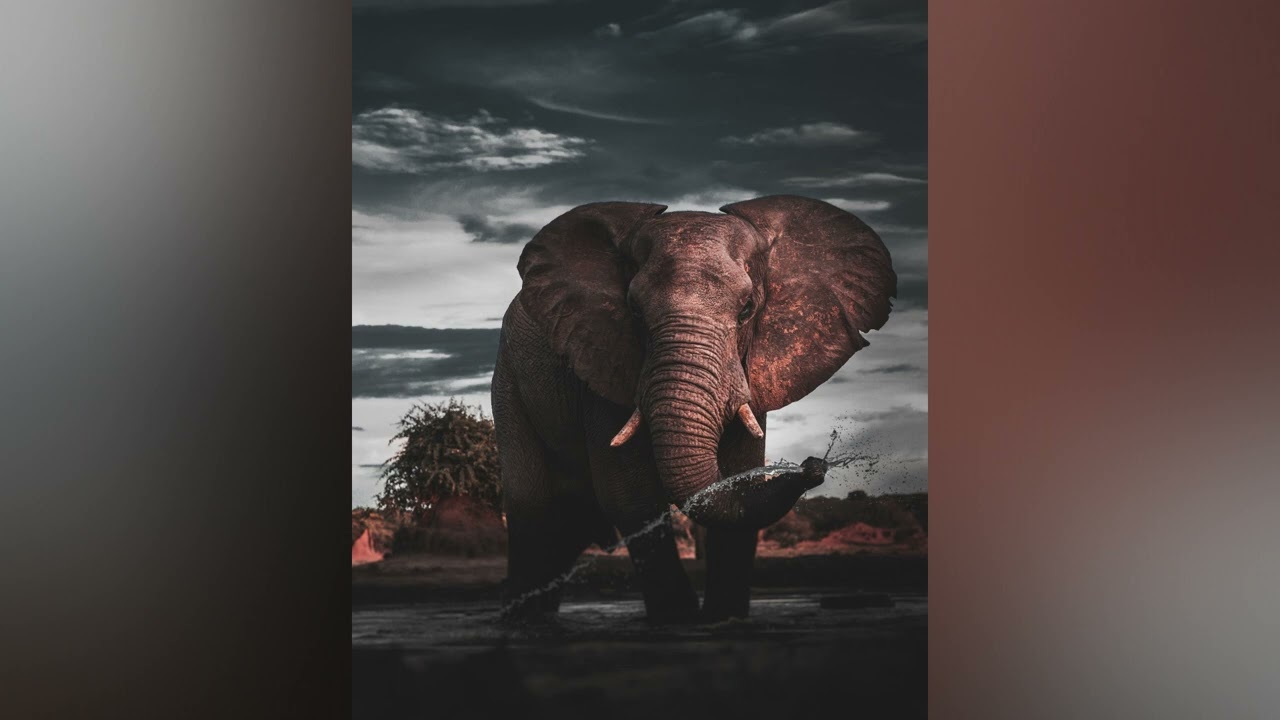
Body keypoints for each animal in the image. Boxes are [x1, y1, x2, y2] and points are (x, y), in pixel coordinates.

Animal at [491, 194, 896, 622]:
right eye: (634, 310)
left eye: (747, 309)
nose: (814, 465)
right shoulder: (602, 361)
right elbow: (630, 496)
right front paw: (679, 620)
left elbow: (738, 478)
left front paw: (724, 618)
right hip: (509, 382)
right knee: (533, 509)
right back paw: (522, 620)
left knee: (570, 524)